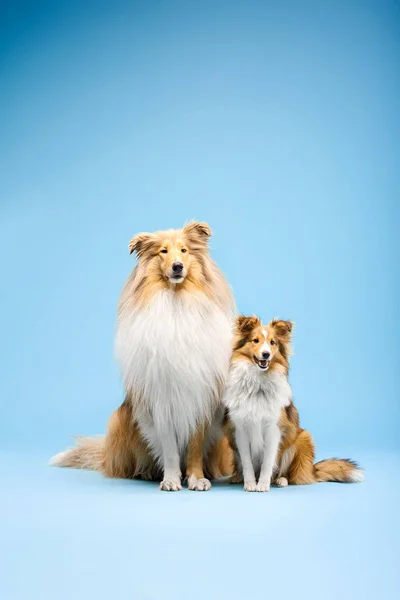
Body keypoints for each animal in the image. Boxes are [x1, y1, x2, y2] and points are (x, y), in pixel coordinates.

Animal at [51, 221, 236, 492]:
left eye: (184, 250)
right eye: (163, 251)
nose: (177, 267)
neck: (176, 300)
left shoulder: (200, 397)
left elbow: (194, 447)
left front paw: (196, 478)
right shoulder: (162, 399)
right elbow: (169, 448)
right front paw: (170, 479)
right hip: (121, 419)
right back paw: (147, 472)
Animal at [223, 316, 364, 490]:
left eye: (273, 342)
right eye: (255, 340)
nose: (266, 355)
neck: (258, 385)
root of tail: (312, 470)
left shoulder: (274, 429)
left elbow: (267, 462)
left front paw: (262, 485)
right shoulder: (241, 429)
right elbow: (247, 462)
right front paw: (250, 484)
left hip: (302, 438)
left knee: (289, 474)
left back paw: (281, 480)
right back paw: (237, 477)